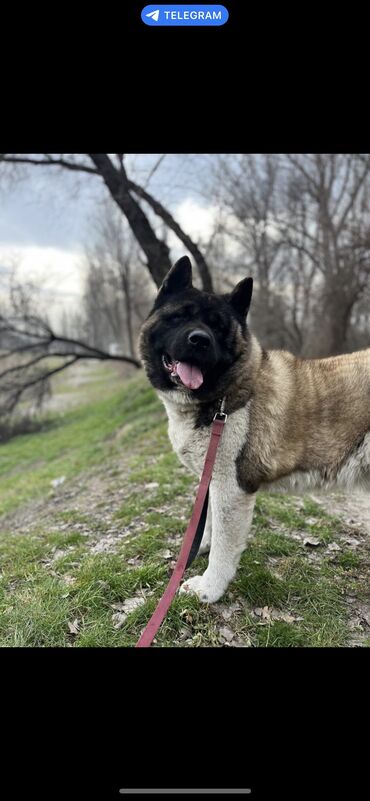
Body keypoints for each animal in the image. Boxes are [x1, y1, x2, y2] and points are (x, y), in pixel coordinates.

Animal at [139, 256, 370, 600]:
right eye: (180, 317)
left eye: (219, 328)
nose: (200, 339)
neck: (221, 397)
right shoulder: (212, 479)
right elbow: (207, 520)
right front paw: (200, 545)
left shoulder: (231, 487)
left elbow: (224, 543)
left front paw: (209, 588)